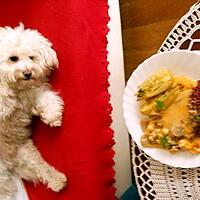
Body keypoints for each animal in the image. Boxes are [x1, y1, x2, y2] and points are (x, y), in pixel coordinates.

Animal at [0, 24, 66, 199]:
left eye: (31, 57)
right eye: (13, 58)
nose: (28, 73)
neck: (18, 90)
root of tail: (8, 160)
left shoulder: (33, 96)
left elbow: (47, 99)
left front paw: (53, 116)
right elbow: (3, 96)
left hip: (27, 155)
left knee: (41, 168)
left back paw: (58, 181)